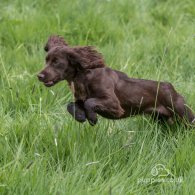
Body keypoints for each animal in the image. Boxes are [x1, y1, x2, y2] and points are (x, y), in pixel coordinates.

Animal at [37, 35, 194, 125]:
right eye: (46, 60)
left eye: (56, 62)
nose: (39, 76)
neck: (83, 78)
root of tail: (172, 88)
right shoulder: (79, 99)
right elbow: (71, 105)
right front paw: (81, 116)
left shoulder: (114, 104)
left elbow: (90, 102)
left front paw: (92, 118)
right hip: (162, 119)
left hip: (184, 114)